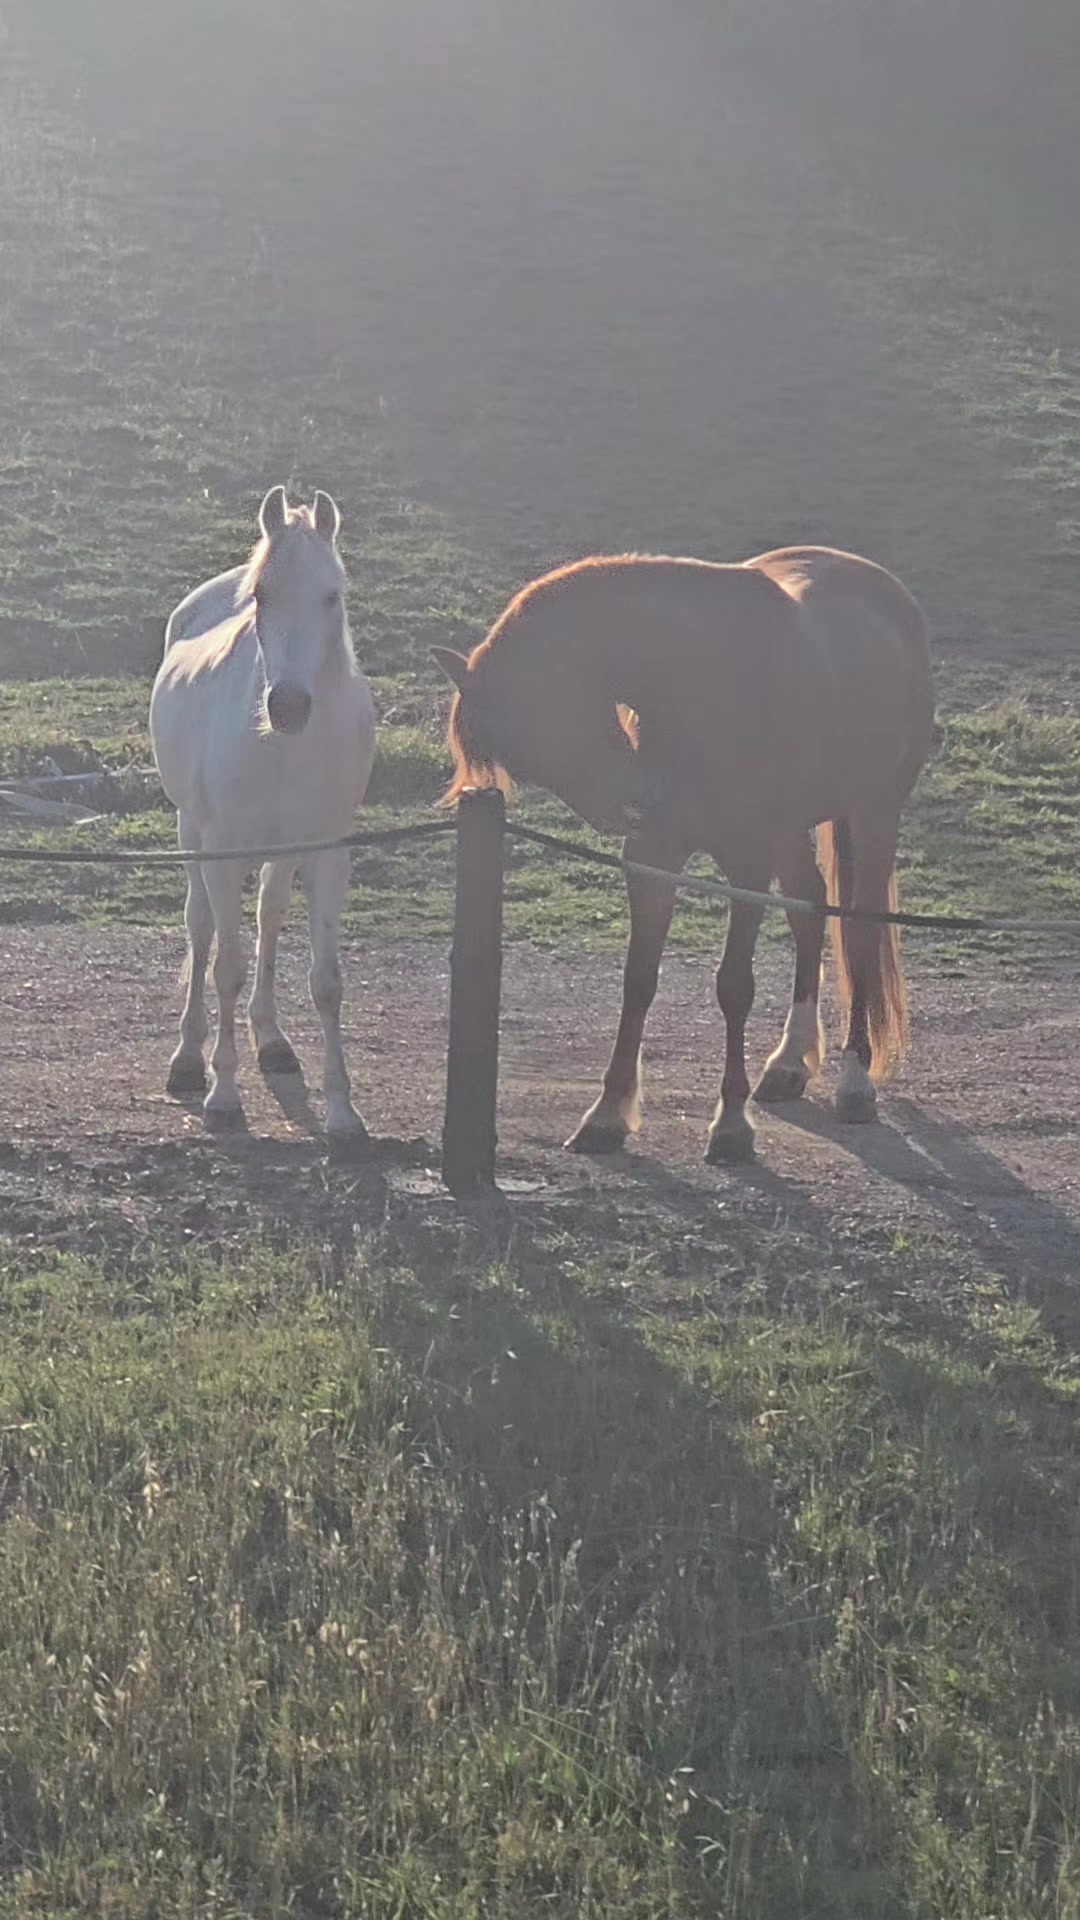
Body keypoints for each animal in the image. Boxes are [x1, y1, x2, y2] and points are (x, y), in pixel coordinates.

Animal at [150, 486, 377, 1149]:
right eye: (262, 597)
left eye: (332, 595)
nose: (290, 707)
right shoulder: (222, 854)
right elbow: (225, 965)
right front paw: (223, 1098)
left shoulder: (327, 855)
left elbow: (326, 981)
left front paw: (343, 1116)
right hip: (192, 835)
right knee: (201, 930)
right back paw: (188, 1059)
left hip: (282, 853)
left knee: (269, 919)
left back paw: (271, 1041)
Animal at [433, 545, 934, 1164]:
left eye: (548, 713)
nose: (632, 803)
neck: (703, 683)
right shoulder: (653, 858)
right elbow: (638, 980)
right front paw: (607, 1114)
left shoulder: (746, 865)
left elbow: (734, 986)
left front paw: (732, 1125)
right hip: (791, 831)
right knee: (810, 908)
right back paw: (790, 1060)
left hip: (873, 816)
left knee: (859, 931)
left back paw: (853, 1081)